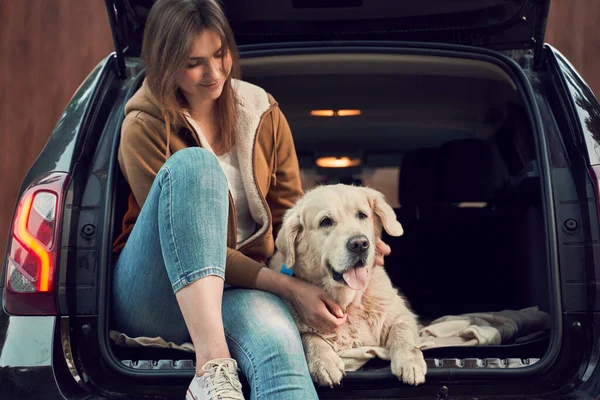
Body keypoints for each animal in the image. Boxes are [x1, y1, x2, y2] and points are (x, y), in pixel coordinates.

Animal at [268, 185, 426, 388]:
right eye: (326, 222)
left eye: (362, 215)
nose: (359, 243)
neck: (348, 302)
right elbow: (309, 336)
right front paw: (324, 362)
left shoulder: (401, 315)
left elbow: (402, 331)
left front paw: (409, 361)